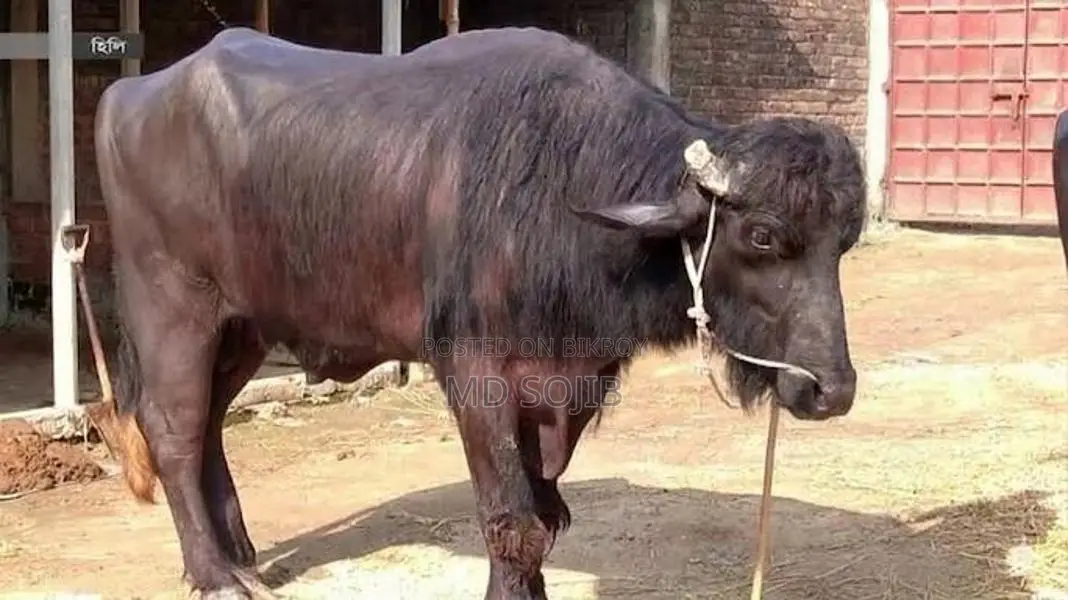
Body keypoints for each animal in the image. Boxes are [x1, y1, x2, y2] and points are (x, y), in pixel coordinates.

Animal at [96, 26, 866, 600]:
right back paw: (214, 573)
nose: (829, 390)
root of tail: (129, 95)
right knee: (172, 429)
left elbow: (545, 516)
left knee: (209, 424)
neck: (559, 191)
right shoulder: (475, 374)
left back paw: (242, 554)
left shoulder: (571, 384)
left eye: (845, 239)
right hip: (172, 306)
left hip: (245, 324)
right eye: (761, 236)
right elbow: (513, 522)